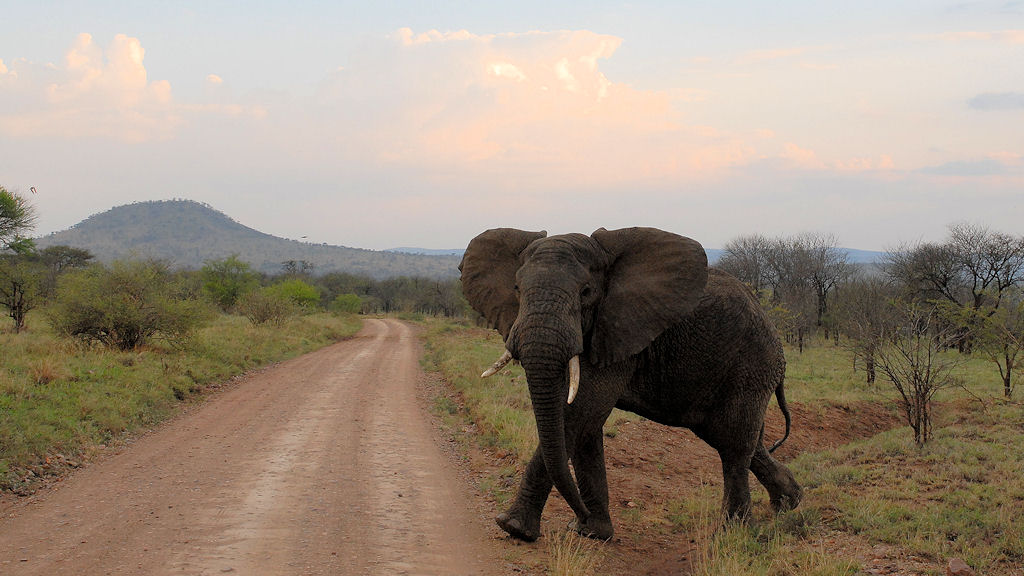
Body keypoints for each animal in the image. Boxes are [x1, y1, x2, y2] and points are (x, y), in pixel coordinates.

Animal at [458, 227, 802, 542]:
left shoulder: (617, 330)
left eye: (586, 292)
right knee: (740, 440)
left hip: (751, 366)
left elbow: (580, 413)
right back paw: (789, 503)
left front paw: (513, 528)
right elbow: (585, 427)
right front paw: (591, 532)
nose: (580, 513)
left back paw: (734, 533)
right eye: (517, 288)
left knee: (734, 444)